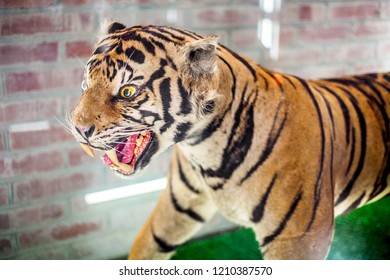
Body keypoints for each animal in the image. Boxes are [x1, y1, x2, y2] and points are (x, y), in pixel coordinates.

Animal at [70, 22, 390, 260]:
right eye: (85, 84)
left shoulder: (299, 237)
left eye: (127, 92)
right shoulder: (177, 206)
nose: (77, 128)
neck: (202, 147)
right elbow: (146, 247)